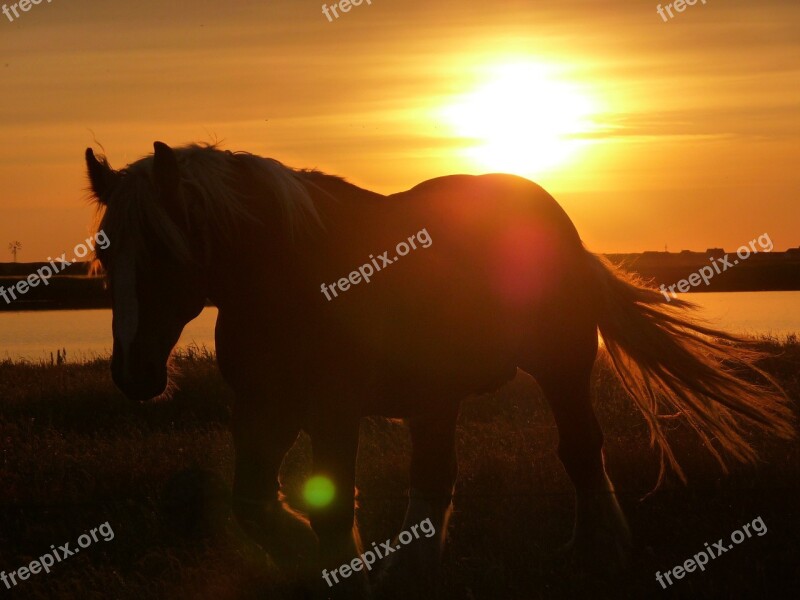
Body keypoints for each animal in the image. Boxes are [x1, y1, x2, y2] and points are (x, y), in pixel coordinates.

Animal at [84, 141, 796, 596]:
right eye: (105, 252)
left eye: (163, 249)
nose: (134, 373)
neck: (296, 277)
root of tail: (556, 219)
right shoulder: (263, 408)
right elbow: (254, 505)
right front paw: (315, 560)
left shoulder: (333, 410)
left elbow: (331, 508)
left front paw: (344, 573)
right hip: (435, 397)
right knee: (434, 477)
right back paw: (414, 571)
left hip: (561, 366)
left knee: (579, 451)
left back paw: (599, 551)